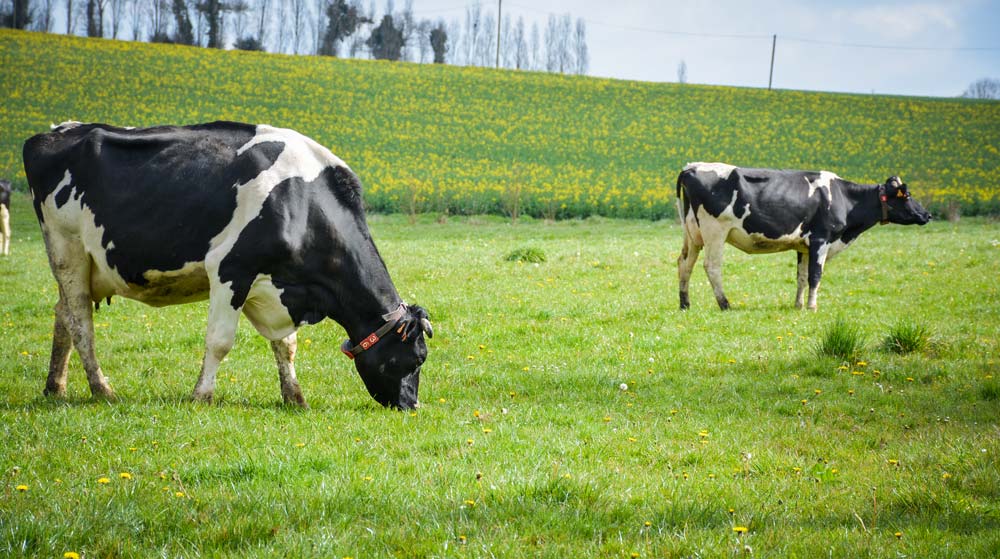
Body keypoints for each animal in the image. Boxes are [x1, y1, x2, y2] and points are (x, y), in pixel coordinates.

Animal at [21, 122, 432, 410]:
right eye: (417, 358)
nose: (411, 406)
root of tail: (54, 132)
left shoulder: (277, 285)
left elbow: (286, 346)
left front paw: (294, 397)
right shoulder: (230, 270)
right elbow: (219, 341)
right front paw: (201, 395)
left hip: (82, 264)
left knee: (62, 316)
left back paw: (56, 388)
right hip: (67, 249)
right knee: (80, 323)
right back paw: (102, 390)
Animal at [676, 162, 932, 312]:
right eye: (907, 195)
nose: (927, 214)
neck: (844, 198)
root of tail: (691, 167)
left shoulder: (803, 246)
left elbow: (801, 276)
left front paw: (798, 304)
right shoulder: (821, 240)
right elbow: (815, 276)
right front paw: (812, 306)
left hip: (693, 234)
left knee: (685, 263)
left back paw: (685, 303)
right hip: (715, 231)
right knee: (711, 266)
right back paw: (724, 304)